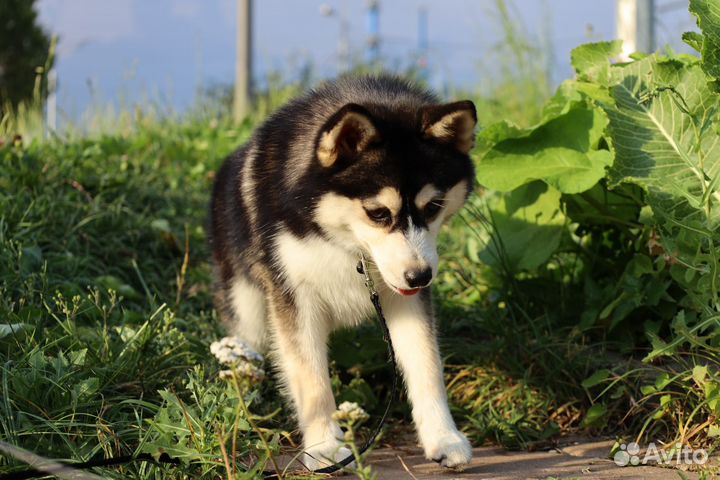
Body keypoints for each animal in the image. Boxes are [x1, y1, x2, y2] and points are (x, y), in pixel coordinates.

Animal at [208, 76, 478, 468]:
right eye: (378, 213)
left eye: (434, 206)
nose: (420, 277)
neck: (347, 245)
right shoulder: (295, 296)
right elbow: (312, 380)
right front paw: (324, 446)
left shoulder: (406, 298)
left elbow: (426, 365)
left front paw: (443, 437)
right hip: (247, 309)